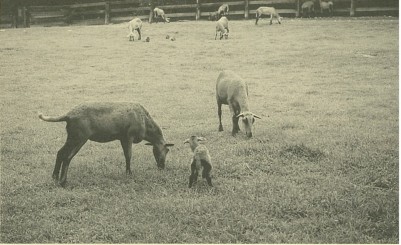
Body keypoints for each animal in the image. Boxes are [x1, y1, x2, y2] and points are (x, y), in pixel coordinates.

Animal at [38, 101, 173, 186]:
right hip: (79, 137)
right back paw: (63, 181)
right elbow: (128, 155)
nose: (162, 166)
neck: (146, 130)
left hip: (72, 136)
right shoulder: (128, 136)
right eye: (167, 150)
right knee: (67, 157)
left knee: (60, 152)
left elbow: (126, 155)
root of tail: (68, 116)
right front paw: (129, 173)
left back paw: (55, 176)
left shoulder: (121, 138)